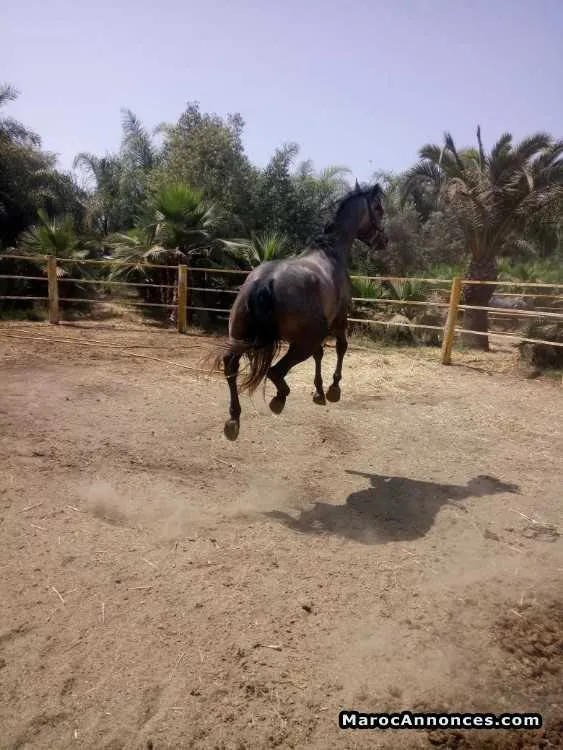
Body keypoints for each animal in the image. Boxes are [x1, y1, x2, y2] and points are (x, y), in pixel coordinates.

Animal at [213, 182, 388, 441]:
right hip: (303, 340)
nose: (384, 240)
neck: (330, 252)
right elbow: (340, 348)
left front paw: (319, 392)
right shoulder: (340, 319)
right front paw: (332, 390)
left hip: (239, 337)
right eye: (379, 209)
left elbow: (320, 355)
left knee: (231, 368)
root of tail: (265, 281)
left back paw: (233, 420)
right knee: (275, 372)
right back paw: (278, 399)